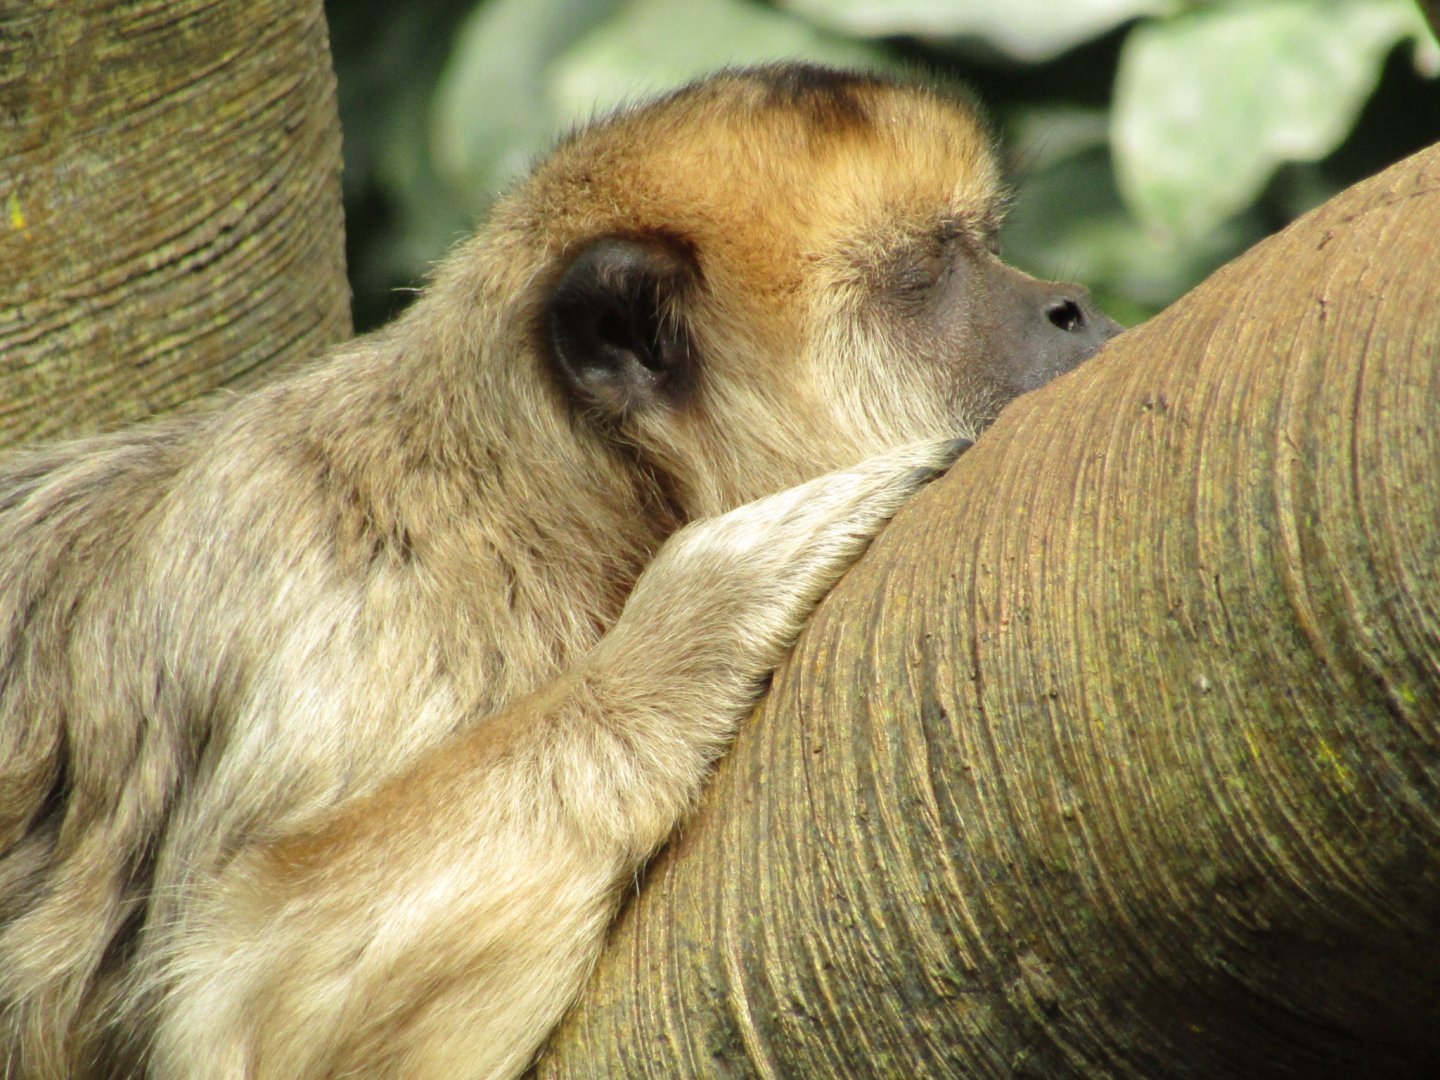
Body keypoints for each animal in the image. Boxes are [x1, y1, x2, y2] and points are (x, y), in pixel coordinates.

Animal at [0, 64, 1119, 1078]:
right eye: (928, 271)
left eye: (986, 243)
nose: (1071, 304)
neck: (551, 506)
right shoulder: (352, 602)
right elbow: (262, 1009)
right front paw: (711, 604)